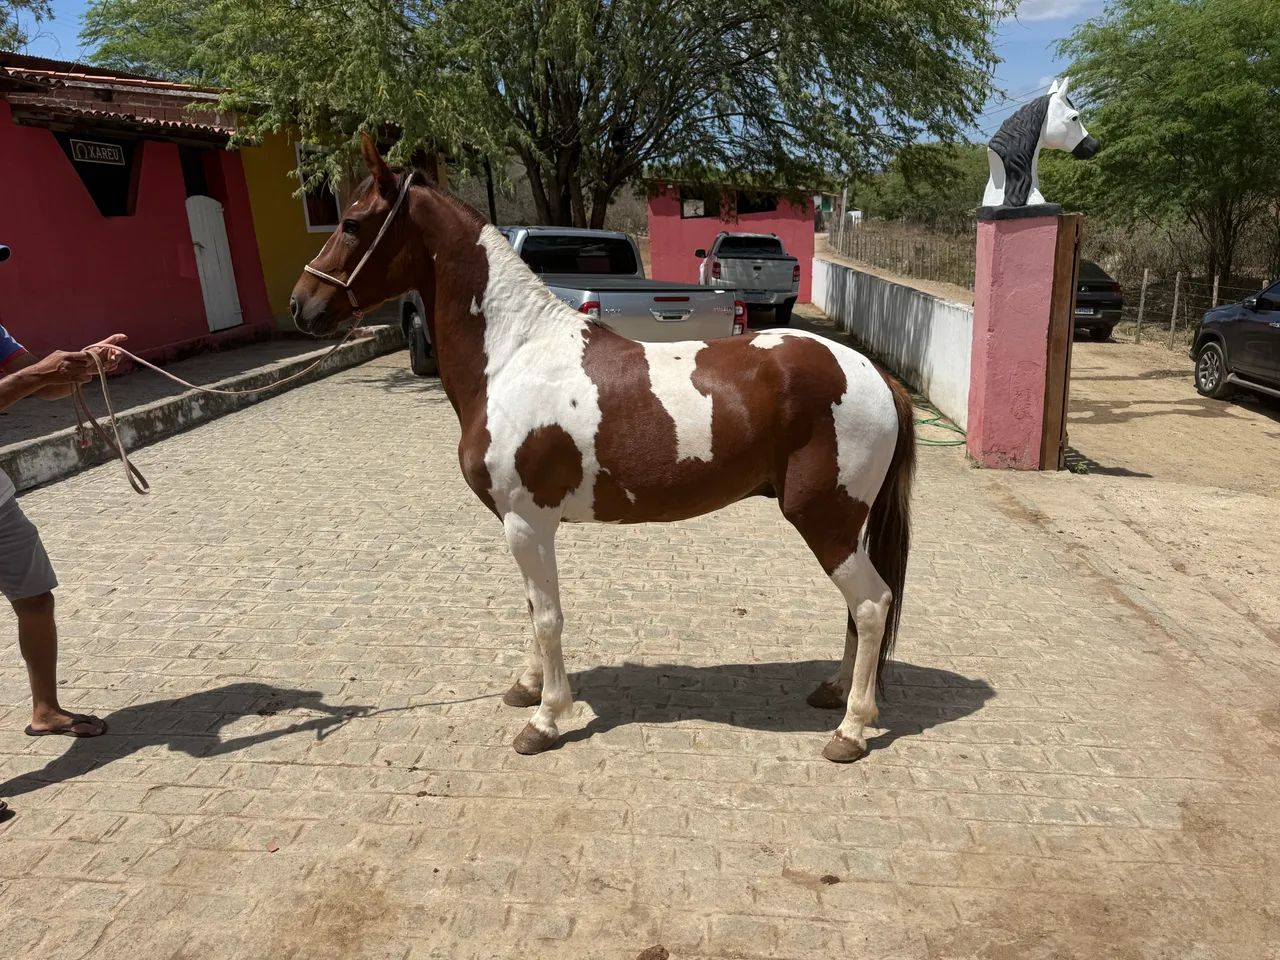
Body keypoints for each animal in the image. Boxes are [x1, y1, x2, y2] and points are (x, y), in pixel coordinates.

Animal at [289, 134, 916, 763]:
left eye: (351, 222)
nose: (302, 305)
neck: (515, 354)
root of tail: (876, 376)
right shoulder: (523, 526)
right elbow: (532, 608)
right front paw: (527, 687)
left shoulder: (526, 521)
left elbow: (547, 618)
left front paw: (545, 719)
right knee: (858, 610)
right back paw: (834, 691)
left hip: (824, 518)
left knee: (870, 605)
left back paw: (852, 729)